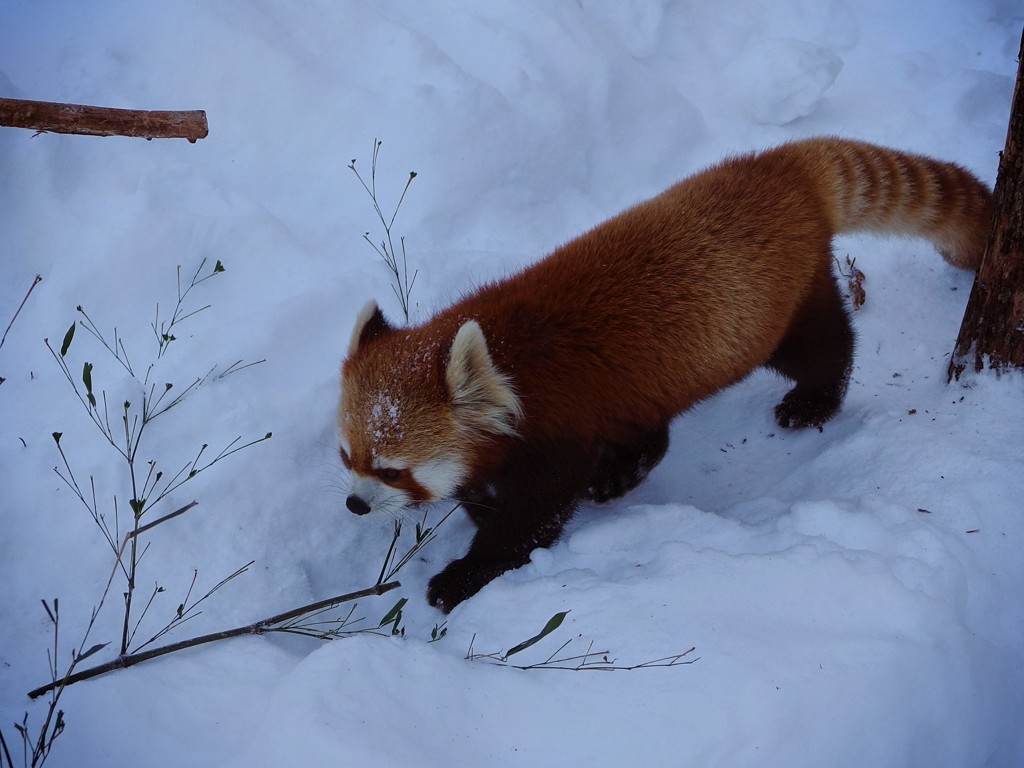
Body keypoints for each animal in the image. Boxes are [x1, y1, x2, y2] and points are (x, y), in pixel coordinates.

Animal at [337, 138, 991, 614]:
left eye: (392, 470)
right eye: (348, 457)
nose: (354, 506)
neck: (505, 366)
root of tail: (779, 166)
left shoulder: (557, 432)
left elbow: (531, 519)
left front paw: (464, 576)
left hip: (774, 309)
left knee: (821, 348)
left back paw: (814, 400)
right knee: (650, 425)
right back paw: (624, 471)